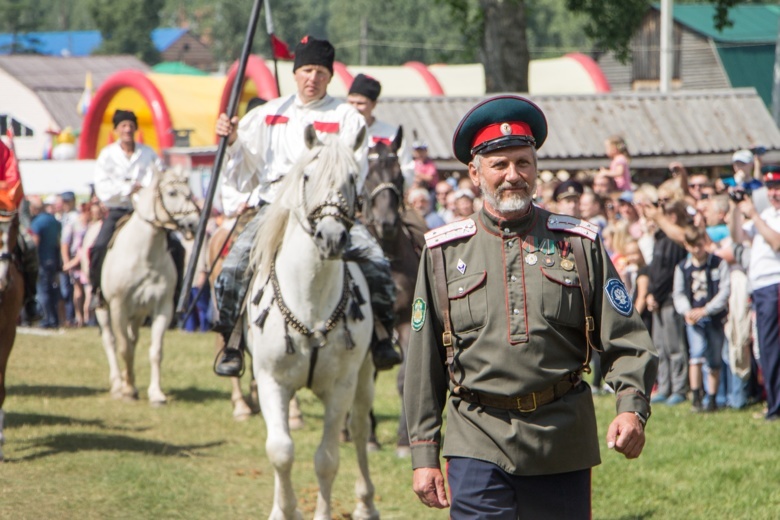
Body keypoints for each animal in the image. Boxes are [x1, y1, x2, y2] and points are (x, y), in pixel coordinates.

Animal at [95, 169, 198, 404]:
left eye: (189, 192)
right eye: (172, 192)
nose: (193, 223)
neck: (145, 255)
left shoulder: (162, 308)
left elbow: (155, 351)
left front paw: (155, 393)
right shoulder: (118, 307)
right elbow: (123, 348)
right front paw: (127, 390)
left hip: (138, 314)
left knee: (133, 340)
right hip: (102, 309)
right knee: (110, 341)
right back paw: (118, 383)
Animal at [245, 127, 376, 520]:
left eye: (353, 178)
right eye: (306, 177)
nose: (331, 238)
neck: (310, 301)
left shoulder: (341, 387)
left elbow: (327, 459)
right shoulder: (270, 380)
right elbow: (280, 451)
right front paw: (284, 510)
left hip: (365, 376)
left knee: (360, 428)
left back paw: (366, 504)